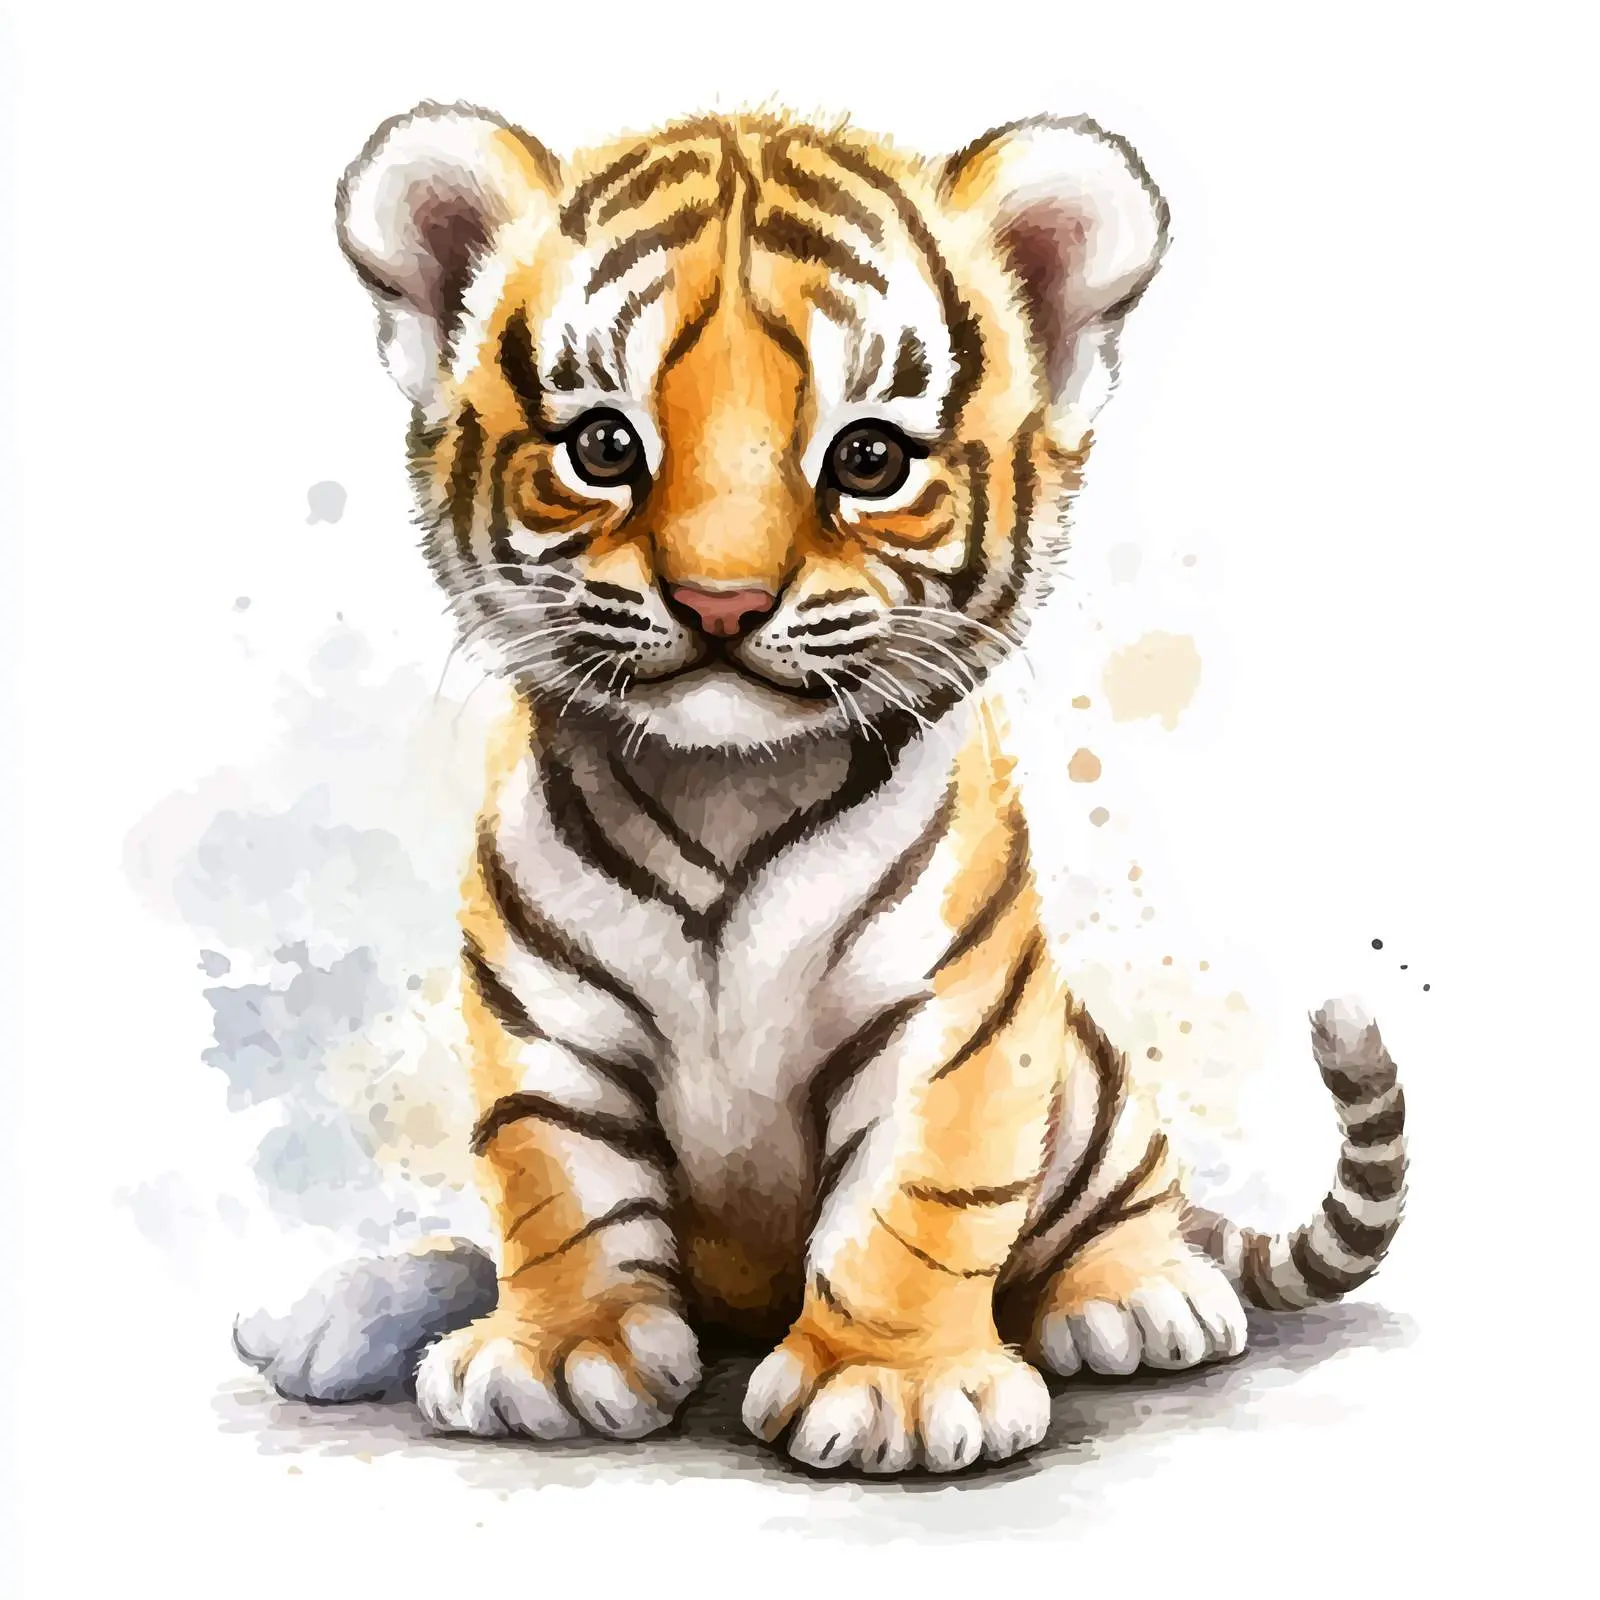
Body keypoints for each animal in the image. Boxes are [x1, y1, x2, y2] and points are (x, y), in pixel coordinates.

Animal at [231, 101, 1409, 1475]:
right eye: (602, 445)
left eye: (869, 457)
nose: (721, 602)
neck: (722, 786)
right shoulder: (544, 1014)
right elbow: (553, 1181)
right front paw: (561, 1354)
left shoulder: (950, 1015)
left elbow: (920, 1199)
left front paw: (892, 1388)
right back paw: (324, 1318)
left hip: (1094, 1096)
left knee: (1126, 1200)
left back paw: (1138, 1294)